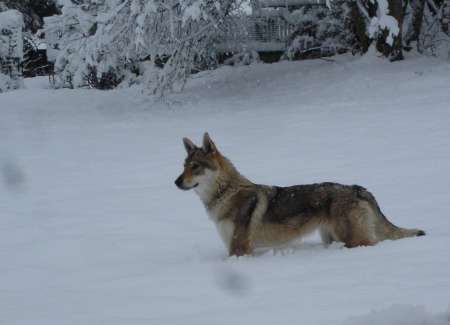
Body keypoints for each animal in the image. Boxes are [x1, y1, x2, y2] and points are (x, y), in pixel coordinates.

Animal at [174, 132, 424, 256]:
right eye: (184, 166)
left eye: (195, 167)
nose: (175, 182)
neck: (226, 193)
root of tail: (358, 188)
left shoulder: (239, 250)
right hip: (331, 237)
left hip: (354, 240)